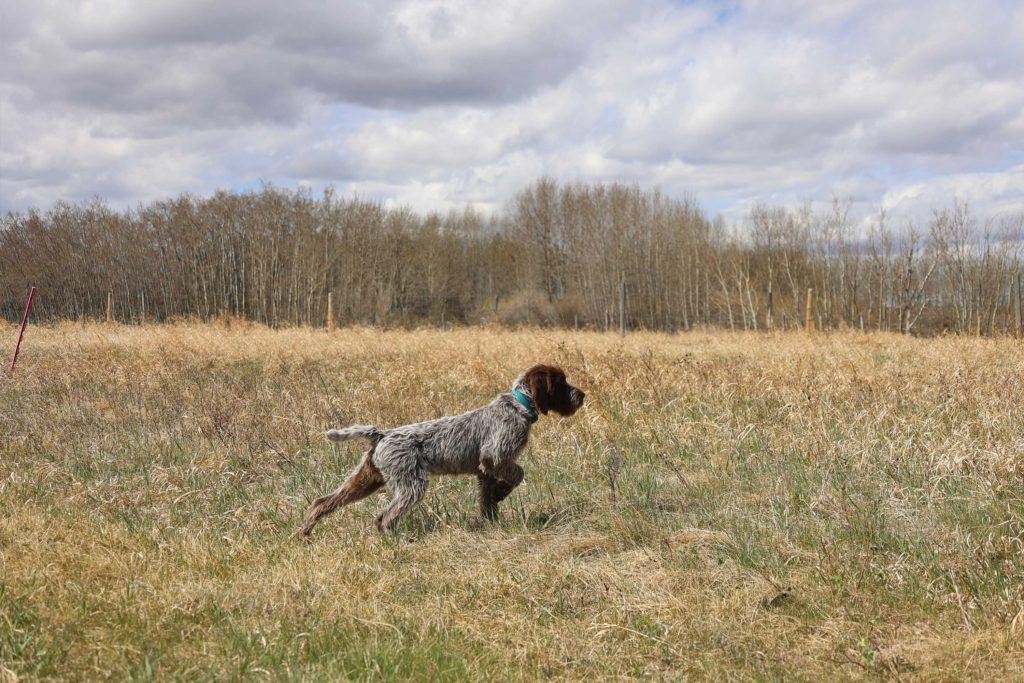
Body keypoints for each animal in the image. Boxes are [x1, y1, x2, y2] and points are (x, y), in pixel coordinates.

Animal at [299, 366, 585, 536]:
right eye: (561, 382)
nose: (582, 395)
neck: (520, 405)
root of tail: (382, 434)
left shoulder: (484, 471)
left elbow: (487, 500)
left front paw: (490, 522)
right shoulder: (495, 457)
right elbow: (518, 475)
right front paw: (502, 493)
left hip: (367, 479)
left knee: (322, 502)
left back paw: (305, 532)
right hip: (411, 484)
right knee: (384, 517)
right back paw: (394, 541)